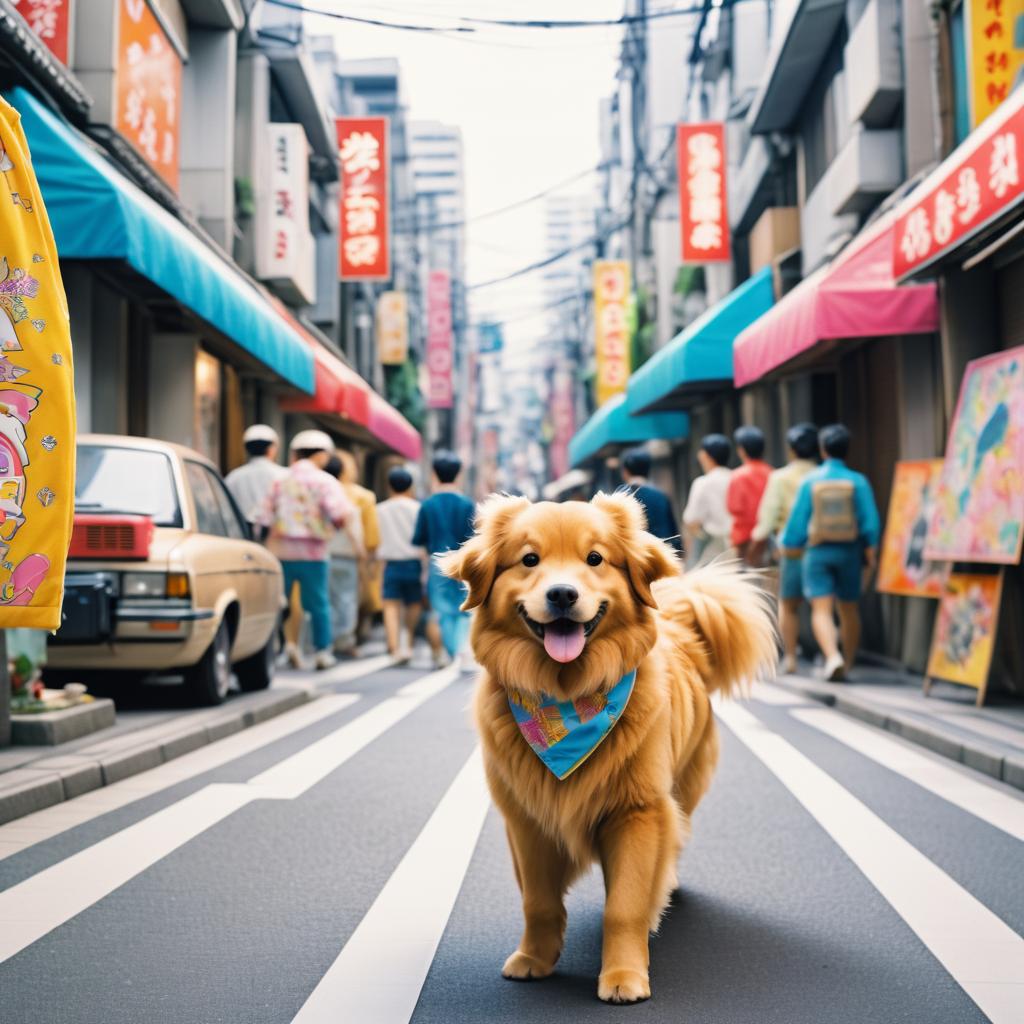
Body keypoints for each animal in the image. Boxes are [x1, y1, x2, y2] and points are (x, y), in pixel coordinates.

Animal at [440, 491, 774, 1003]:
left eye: (594, 558)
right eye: (529, 559)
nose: (562, 594)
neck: (566, 700)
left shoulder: (637, 812)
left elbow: (625, 905)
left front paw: (623, 977)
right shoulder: (527, 818)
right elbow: (537, 901)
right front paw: (534, 959)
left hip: (683, 786)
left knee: (674, 838)